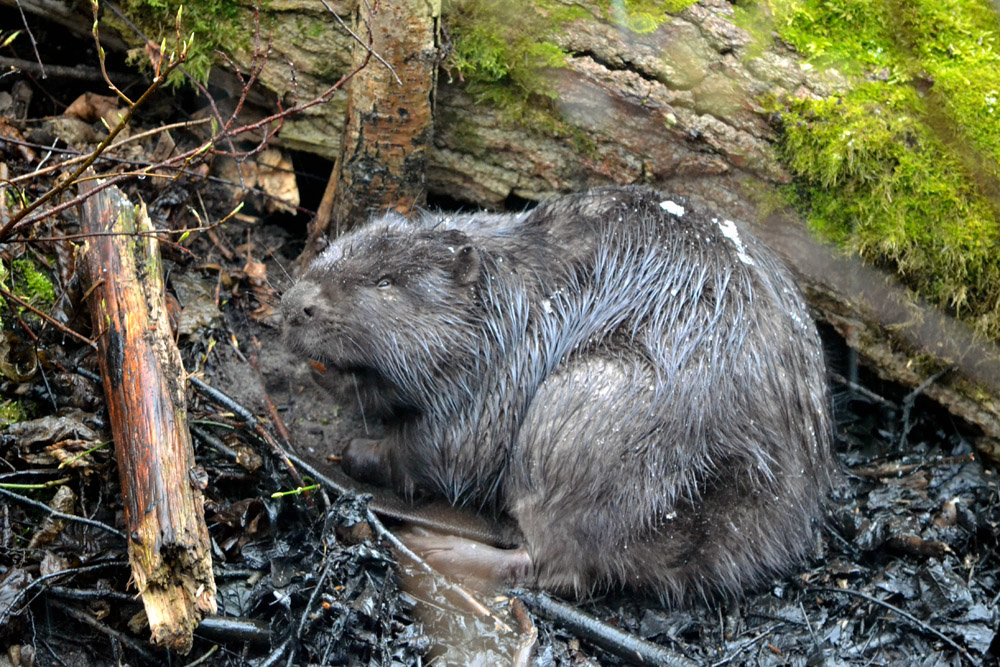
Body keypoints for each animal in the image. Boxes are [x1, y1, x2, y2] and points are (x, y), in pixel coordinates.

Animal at [284, 185, 836, 604]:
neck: (510, 290)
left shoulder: (507, 363)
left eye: (385, 282)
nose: (297, 305)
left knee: (559, 564)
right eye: (330, 248)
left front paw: (357, 450)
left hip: (584, 408)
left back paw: (437, 549)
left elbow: (454, 449)